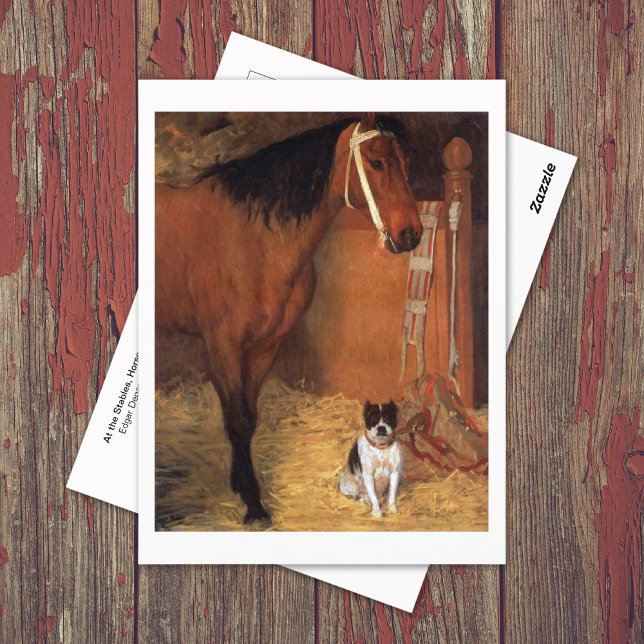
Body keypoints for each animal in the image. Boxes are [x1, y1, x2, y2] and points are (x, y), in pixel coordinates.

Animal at [155, 113, 422, 524]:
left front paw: (240, 485)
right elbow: (237, 419)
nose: (411, 234)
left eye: (406, 164)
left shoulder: (265, 345)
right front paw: (253, 505)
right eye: (377, 162)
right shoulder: (223, 345)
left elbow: (248, 417)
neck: (252, 241)